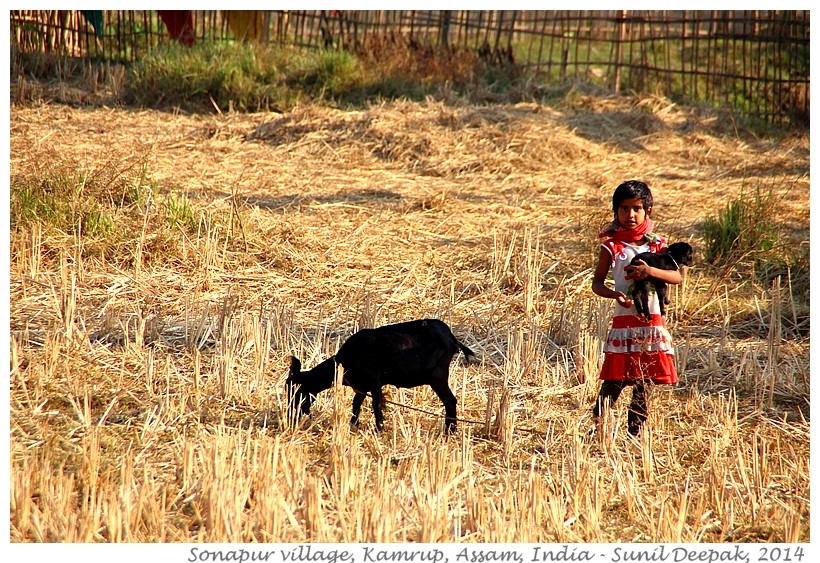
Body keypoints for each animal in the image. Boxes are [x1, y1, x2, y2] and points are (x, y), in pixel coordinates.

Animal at [286, 320, 474, 434]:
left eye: (297, 391)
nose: (290, 415)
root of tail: (452, 339)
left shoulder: (374, 380)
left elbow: (375, 405)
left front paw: (379, 429)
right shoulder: (361, 386)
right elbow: (356, 405)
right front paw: (354, 425)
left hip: (437, 376)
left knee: (450, 400)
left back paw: (449, 431)